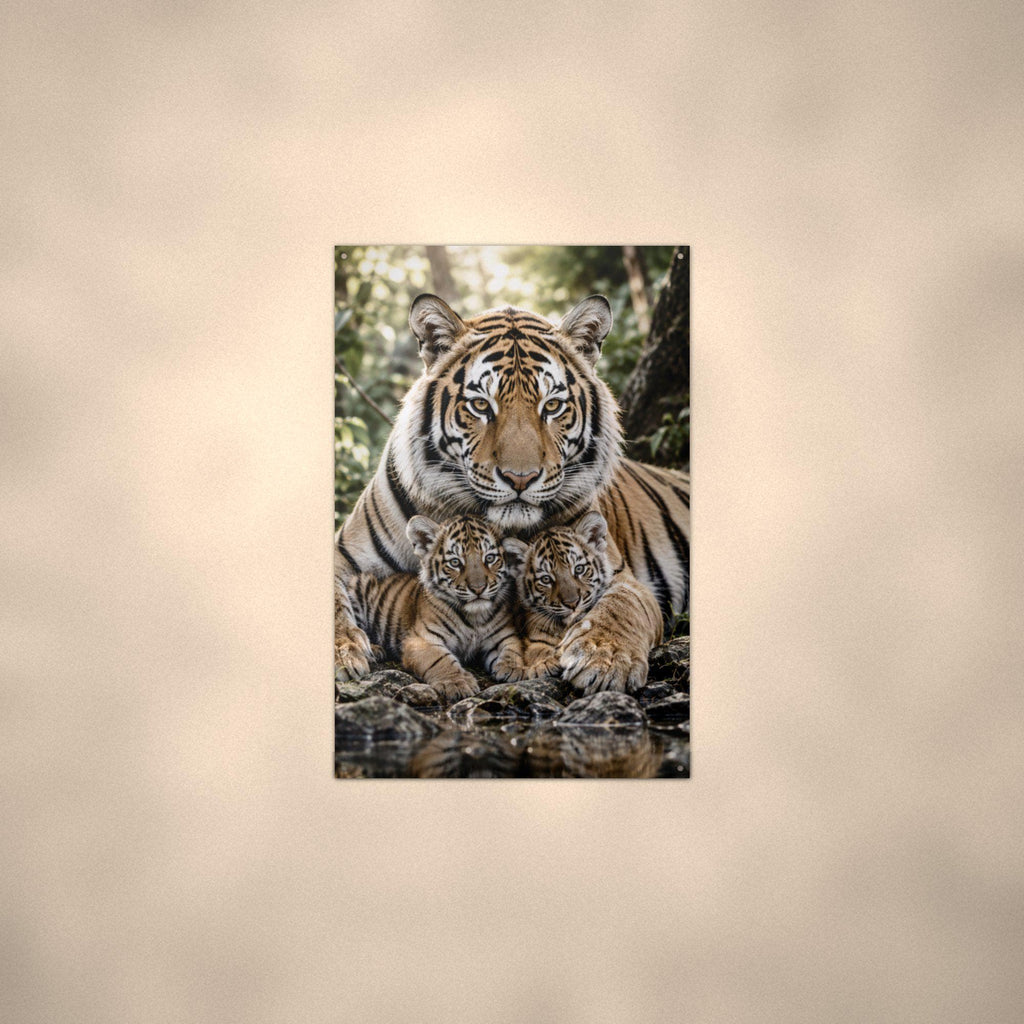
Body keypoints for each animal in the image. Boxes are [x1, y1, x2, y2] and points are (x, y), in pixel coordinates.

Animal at [347, 515, 525, 699]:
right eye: (455, 562)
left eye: (489, 558)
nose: (478, 588)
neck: (474, 617)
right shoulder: (421, 640)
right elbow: (440, 659)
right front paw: (457, 682)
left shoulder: (503, 634)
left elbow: (513, 648)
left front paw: (513, 668)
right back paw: (373, 650)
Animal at [501, 510, 614, 679]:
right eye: (546, 579)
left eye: (579, 569)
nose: (572, 603)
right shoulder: (534, 637)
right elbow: (538, 650)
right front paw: (545, 664)